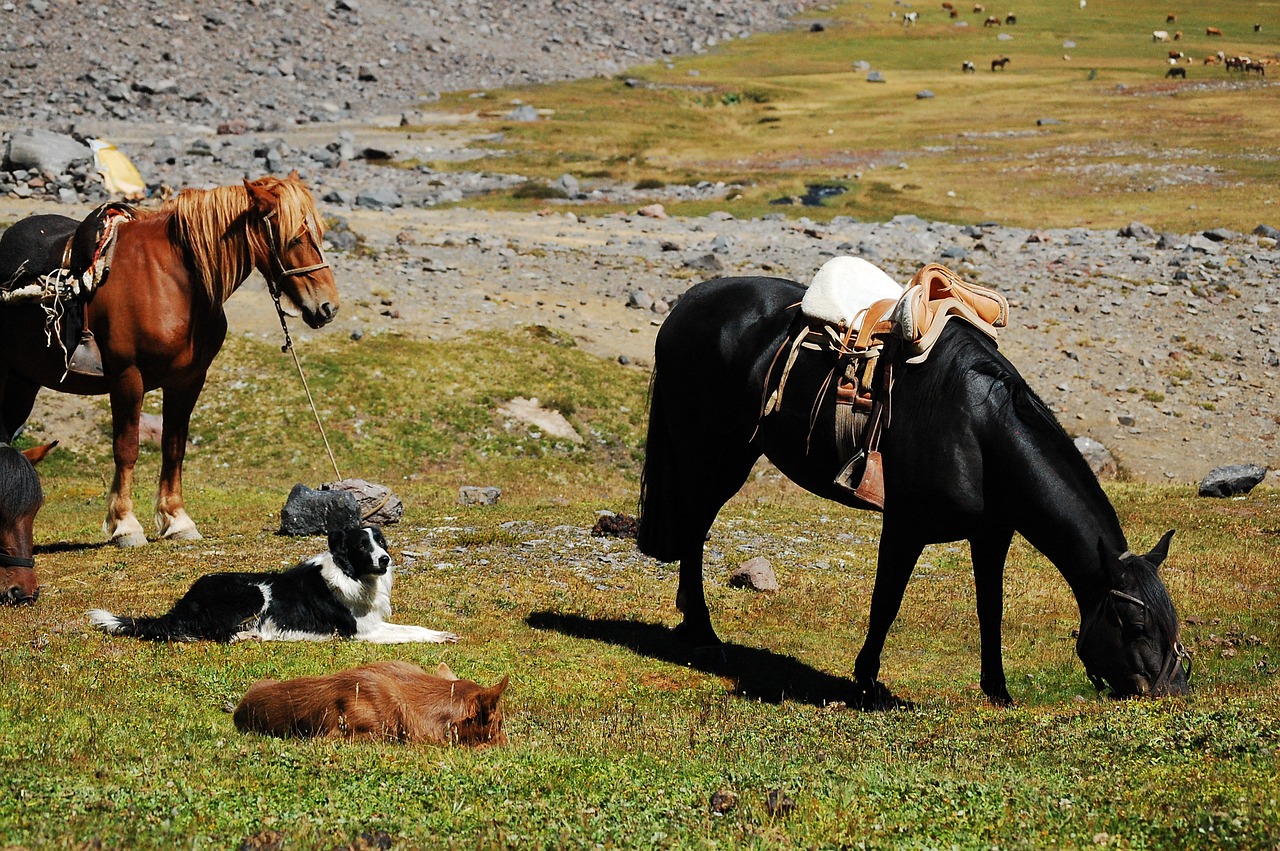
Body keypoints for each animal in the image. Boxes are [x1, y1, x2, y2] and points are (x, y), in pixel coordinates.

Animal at [0, 174, 340, 545]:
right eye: (295, 237)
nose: (328, 307)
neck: (173, 280)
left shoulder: (188, 380)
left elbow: (174, 447)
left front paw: (177, 520)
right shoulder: (127, 378)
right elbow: (126, 448)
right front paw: (125, 525)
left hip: (22, 384)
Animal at [85, 527, 458, 639]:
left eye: (381, 542)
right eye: (362, 546)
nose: (385, 560)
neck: (351, 573)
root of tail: (186, 599)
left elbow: (413, 627)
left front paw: (443, 634)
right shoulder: (360, 633)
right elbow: (407, 634)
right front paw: (437, 637)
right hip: (254, 592)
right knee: (215, 632)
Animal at [640, 275, 1187, 706]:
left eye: (1170, 620)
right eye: (1132, 624)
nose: (1172, 689)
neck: (977, 431)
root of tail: (686, 304)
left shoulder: (991, 535)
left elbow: (990, 609)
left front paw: (998, 691)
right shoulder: (905, 526)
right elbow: (886, 602)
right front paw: (865, 683)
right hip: (712, 456)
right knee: (694, 529)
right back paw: (702, 632)